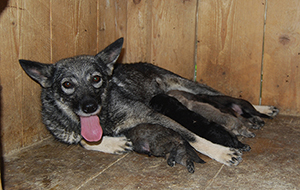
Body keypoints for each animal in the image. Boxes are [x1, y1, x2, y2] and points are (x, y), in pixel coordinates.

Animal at [19, 37, 278, 166]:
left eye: (96, 79)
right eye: (67, 84)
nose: (89, 107)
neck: (104, 118)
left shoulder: (152, 115)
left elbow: (193, 136)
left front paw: (221, 152)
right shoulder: (69, 134)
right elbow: (84, 141)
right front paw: (113, 144)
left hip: (193, 86)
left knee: (223, 95)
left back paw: (263, 109)